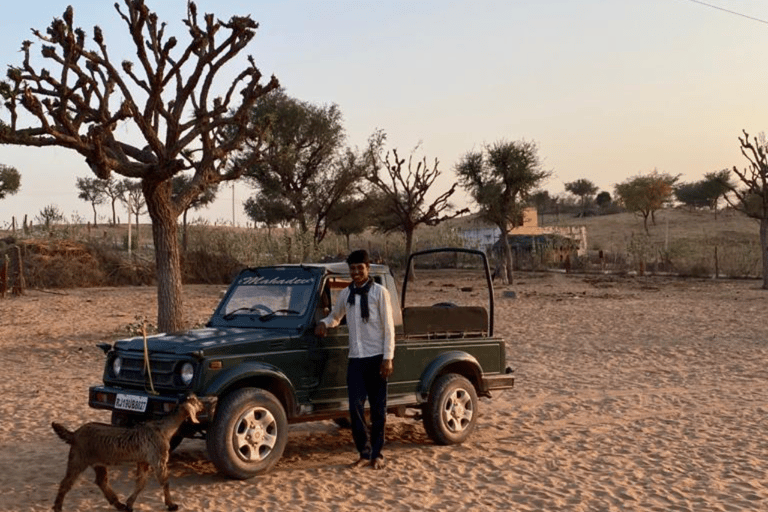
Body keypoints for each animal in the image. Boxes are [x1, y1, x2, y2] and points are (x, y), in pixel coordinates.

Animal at [50, 394, 208, 510]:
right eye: (195, 401)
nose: (204, 404)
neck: (163, 428)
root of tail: (75, 433)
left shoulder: (143, 461)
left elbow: (141, 483)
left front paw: (130, 503)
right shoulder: (158, 459)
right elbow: (164, 482)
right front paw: (171, 504)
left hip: (98, 462)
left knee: (101, 481)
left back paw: (118, 504)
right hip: (78, 459)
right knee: (66, 483)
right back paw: (58, 507)